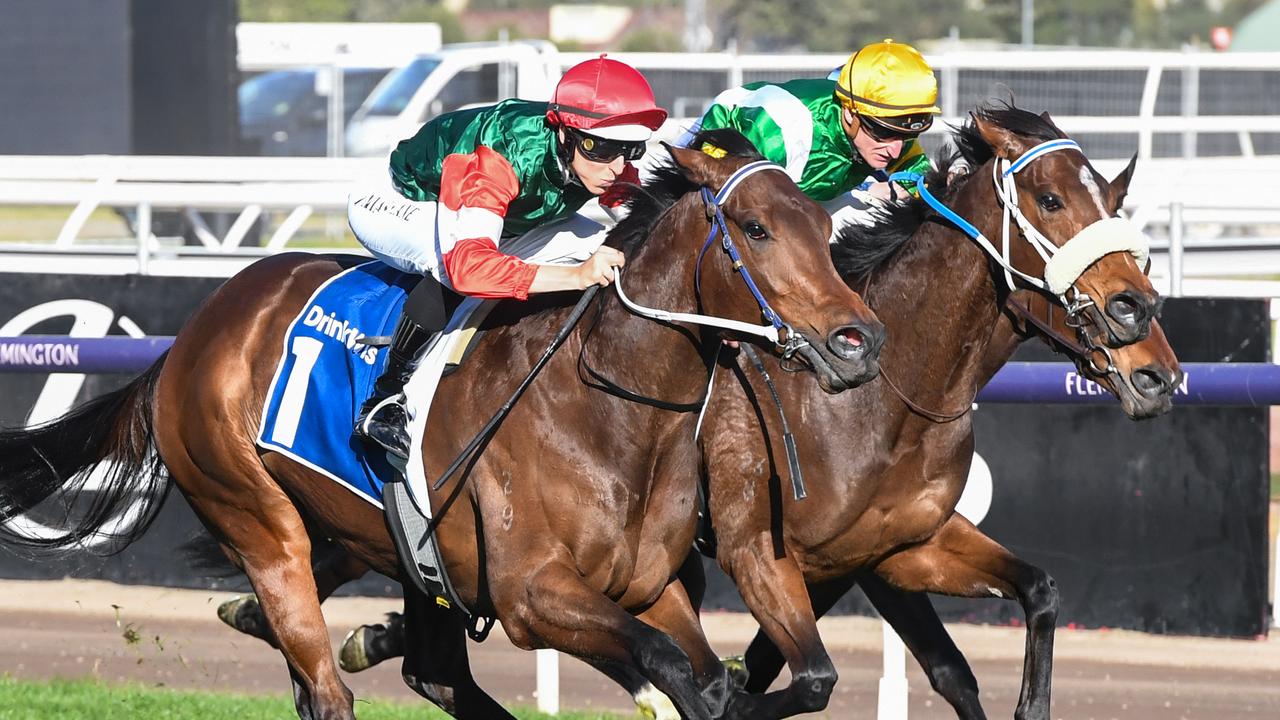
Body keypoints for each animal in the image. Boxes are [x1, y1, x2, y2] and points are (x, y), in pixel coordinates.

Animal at [0, 139, 885, 717]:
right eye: (759, 230)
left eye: (826, 230)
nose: (860, 341)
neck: (609, 411)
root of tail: (190, 337)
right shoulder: (532, 594)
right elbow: (675, 671)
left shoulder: (651, 589)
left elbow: (713, 673)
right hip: (257, 522)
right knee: (326, 688)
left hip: (403, 550)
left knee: (433, 675)